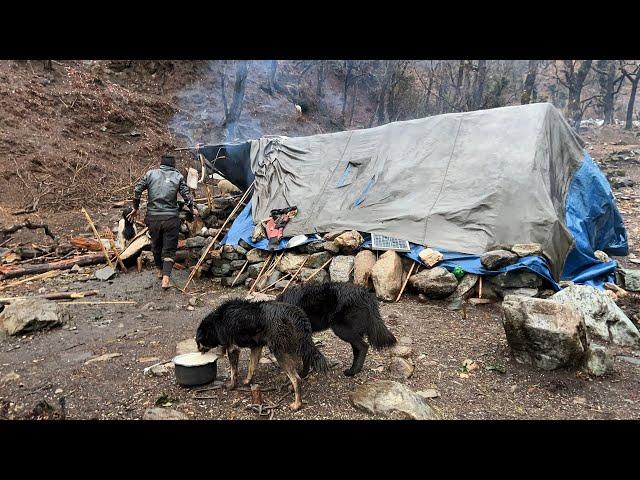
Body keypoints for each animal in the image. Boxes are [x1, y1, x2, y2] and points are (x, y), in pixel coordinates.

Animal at [196, 298, 330, 410]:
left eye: (198, 342)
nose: (198, 351)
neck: (217, 321)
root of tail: (296, 313)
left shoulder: (233, 348)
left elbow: (234, 371)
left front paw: (231, 386)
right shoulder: (256, 346)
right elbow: (251, 366)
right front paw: (247, 381)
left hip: (279, 351)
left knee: (296, 378)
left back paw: (297, 404)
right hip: (298, 345)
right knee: (304, 365)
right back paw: (295, 385)